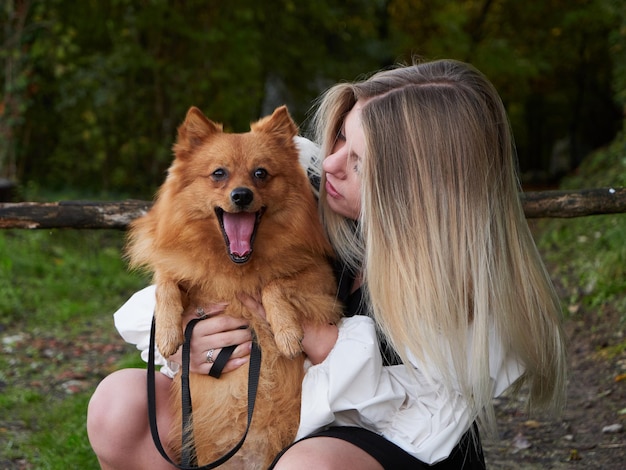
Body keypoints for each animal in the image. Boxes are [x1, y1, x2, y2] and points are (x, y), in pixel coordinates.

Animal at [125, 104, 342, 468]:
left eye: (261, 173)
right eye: (218, 174)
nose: (241, 195)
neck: (236, 266)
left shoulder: (320, 279)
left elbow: (273, 284)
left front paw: (286, 332)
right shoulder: (178, 270)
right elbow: (164, 283)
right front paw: (168, 332)